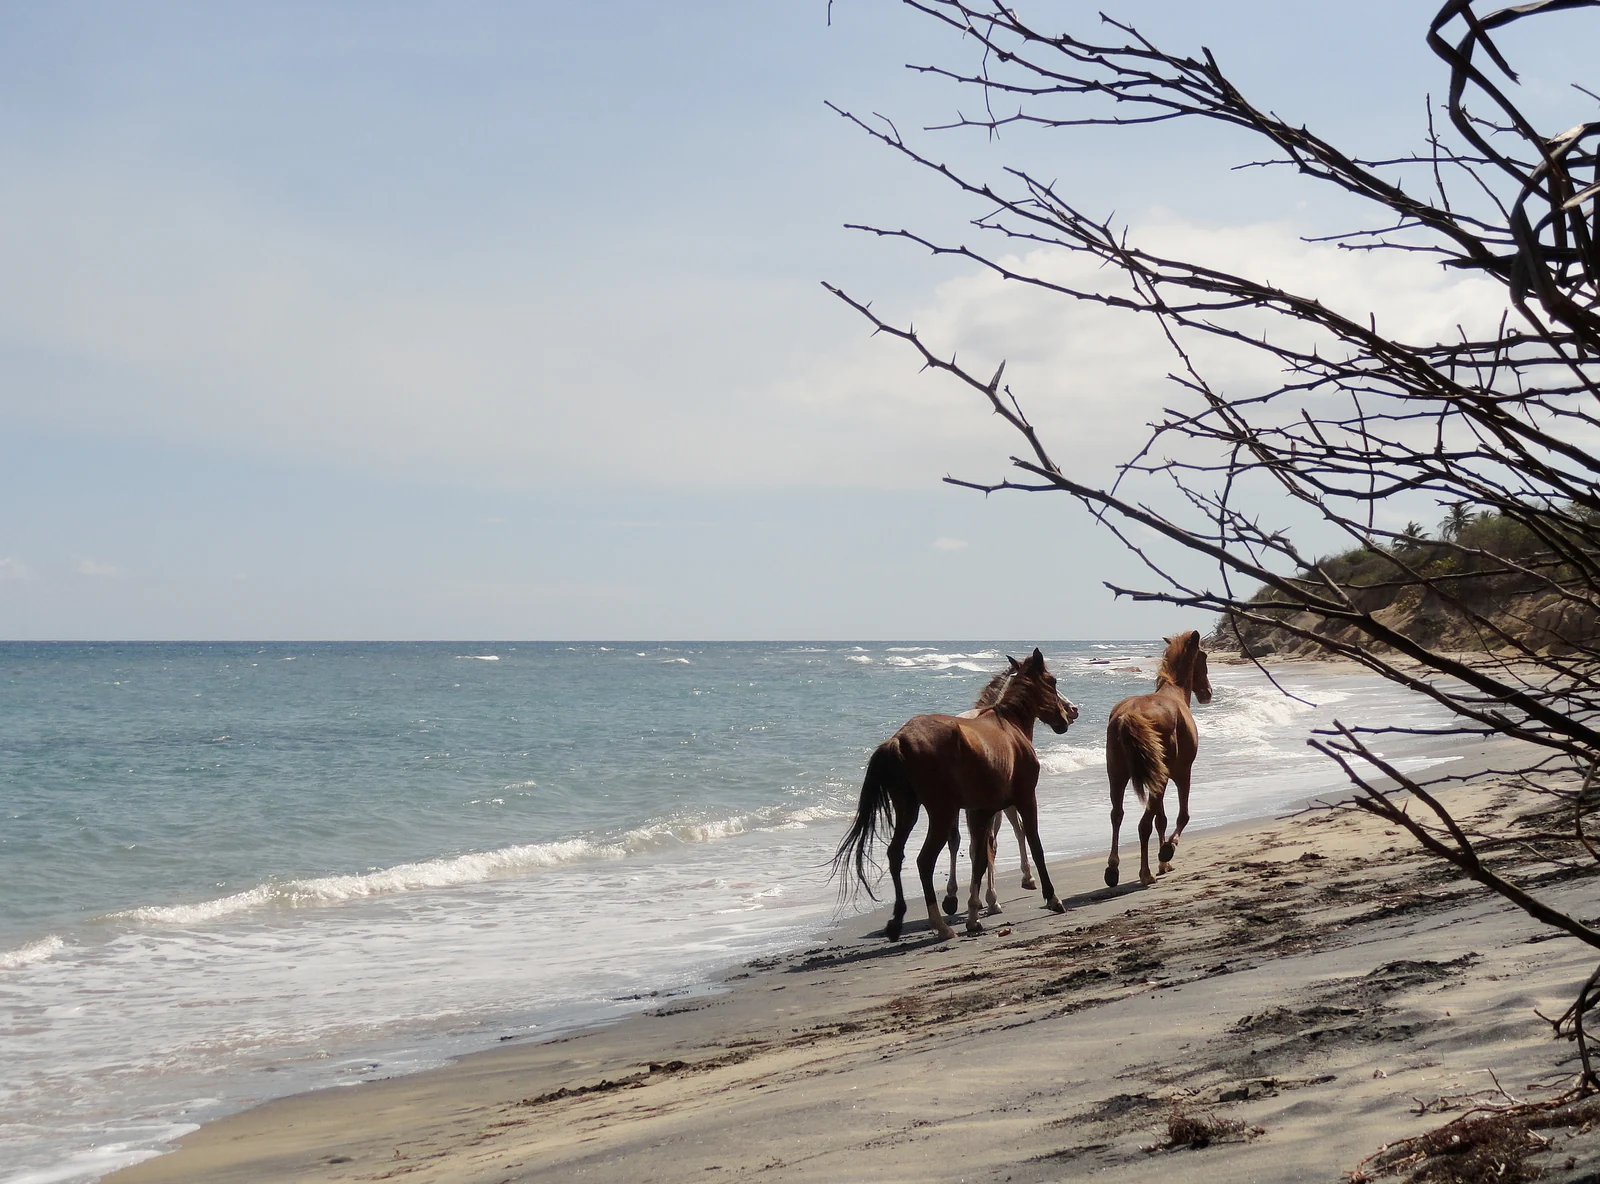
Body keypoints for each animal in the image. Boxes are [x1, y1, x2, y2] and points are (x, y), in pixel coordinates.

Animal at [832, 648, 1079, 941]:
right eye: (1053, 681)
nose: (1068, 715)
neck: (1009, 725)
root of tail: (898, 740)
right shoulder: (1025, 799)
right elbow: (1033, 845)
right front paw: (1052, 898)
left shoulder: (981, 811)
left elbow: (981, 858)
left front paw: (975, 914)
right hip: (942, 813)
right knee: (924, 860)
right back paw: (941, 926)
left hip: (909, 810)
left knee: (896, 855)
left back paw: (897, 922)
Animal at [1103, 630, 1212, 889]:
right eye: (1203, 656)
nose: (1208, 693)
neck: (1174, 692)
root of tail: (1129, 715)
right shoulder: (1182, 772)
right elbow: (1182, 815)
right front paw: (1167, 851)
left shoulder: (1156, 776)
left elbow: (1160, 819)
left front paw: (1164, 863)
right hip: (1158, 778)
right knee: (1143, 824)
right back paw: (1145, 873)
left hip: (1117, 775)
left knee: (1117, 815)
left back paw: (1113, 869)